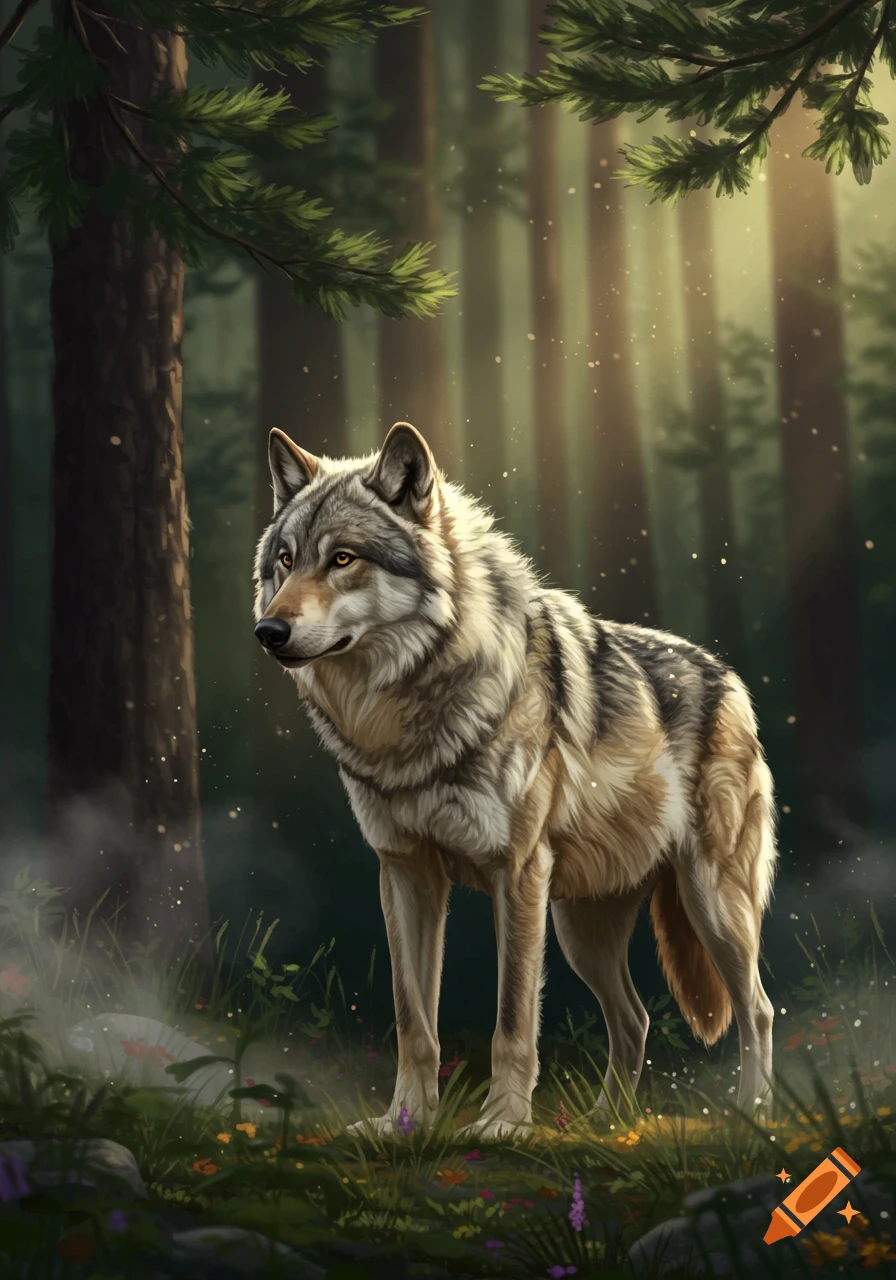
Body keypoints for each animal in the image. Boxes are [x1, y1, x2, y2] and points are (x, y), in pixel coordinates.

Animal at [253, 422, 777, 1140]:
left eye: (343, 559)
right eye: (284, 559)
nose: (268, 630)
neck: (405, 716)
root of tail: (730, 680)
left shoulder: (518, 872)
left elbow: (512, 1020)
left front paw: (502, 1125)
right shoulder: (405, 872)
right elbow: (413, 1022)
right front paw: (403, 1123)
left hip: (711, 905)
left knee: (757, 1009)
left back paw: (752, 1116)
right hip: (583, 930)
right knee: (635, 1017)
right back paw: (604, 1122)